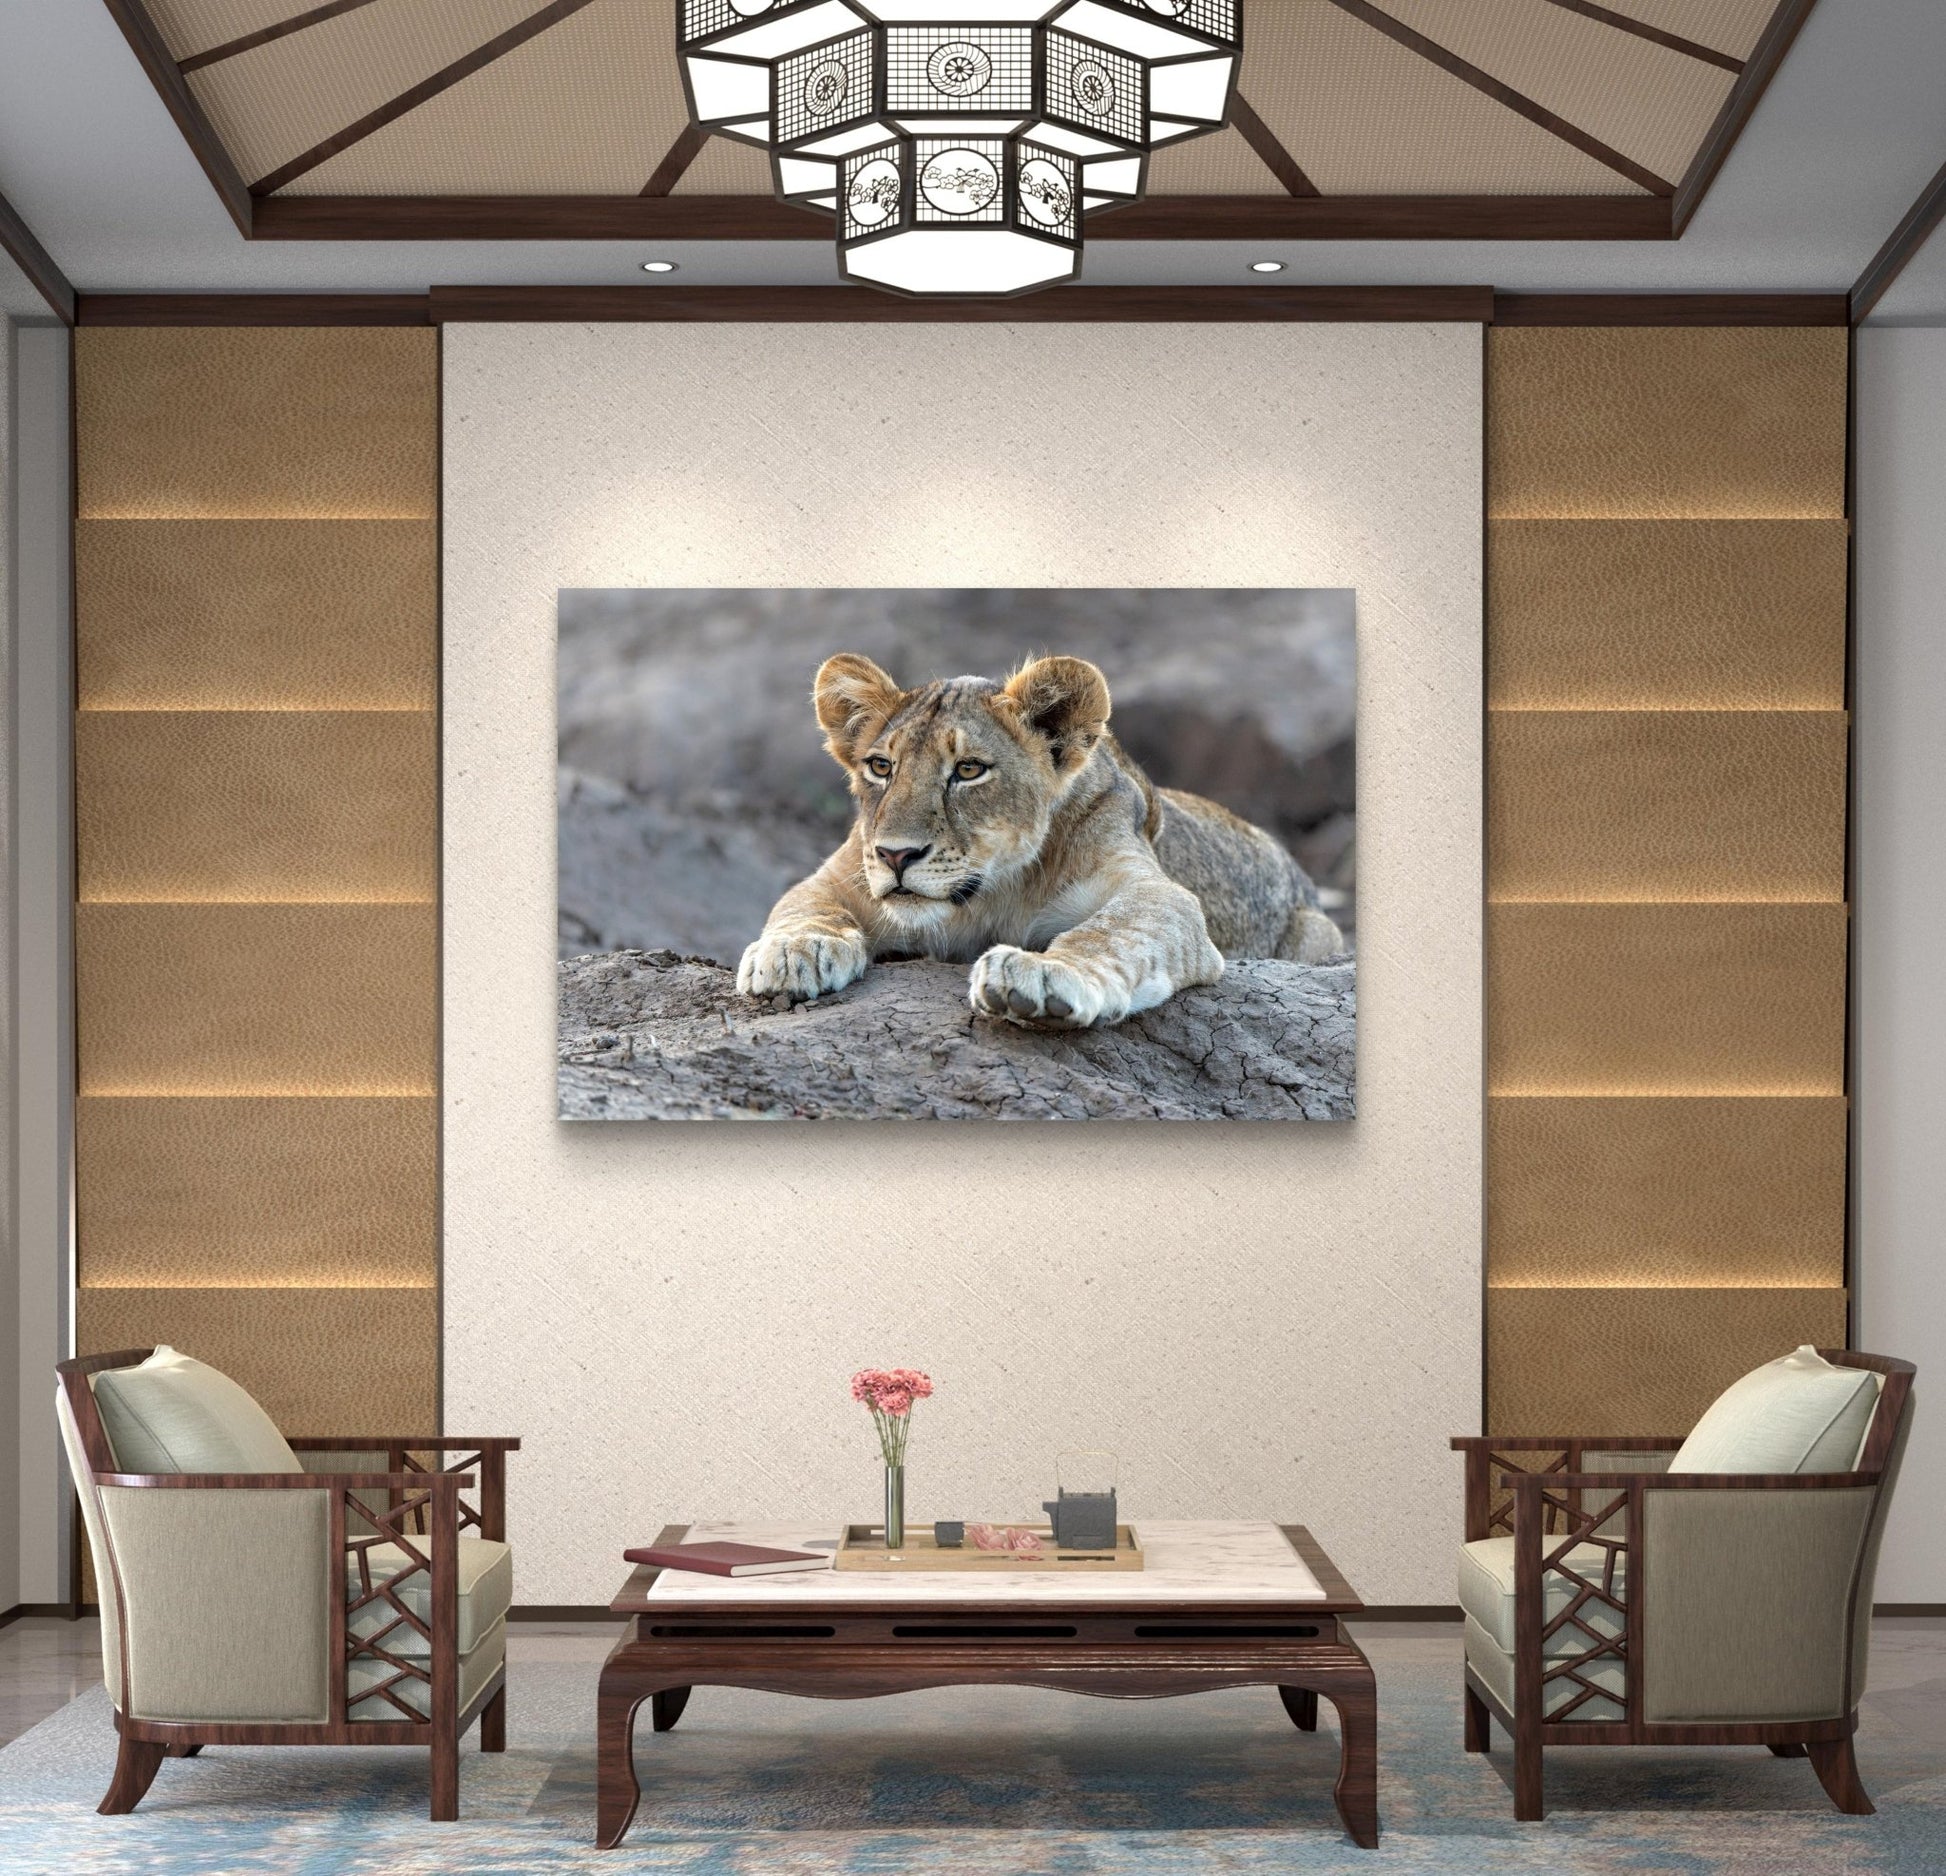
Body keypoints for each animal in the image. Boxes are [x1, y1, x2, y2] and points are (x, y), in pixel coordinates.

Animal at [736, 652, 1346, 1029]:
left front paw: (1047, 973)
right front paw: (794, 952)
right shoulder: (841, 874)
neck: (989, 895)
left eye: (969, 770)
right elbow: (802, 904)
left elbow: (1110, 931)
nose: (895, 855)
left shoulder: (1158, 892)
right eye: (881, 767)